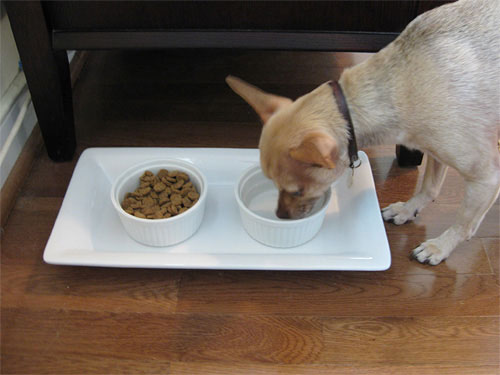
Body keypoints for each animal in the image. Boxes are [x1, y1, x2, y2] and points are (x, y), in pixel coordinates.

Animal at [228, 0, 500, 266]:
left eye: (297, 192)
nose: (280, 216)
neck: (399, 86)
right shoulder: (434, 151)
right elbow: (429, 188)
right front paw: (408, 209)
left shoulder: (485, 177)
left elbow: (464, 223)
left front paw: (440, 246)